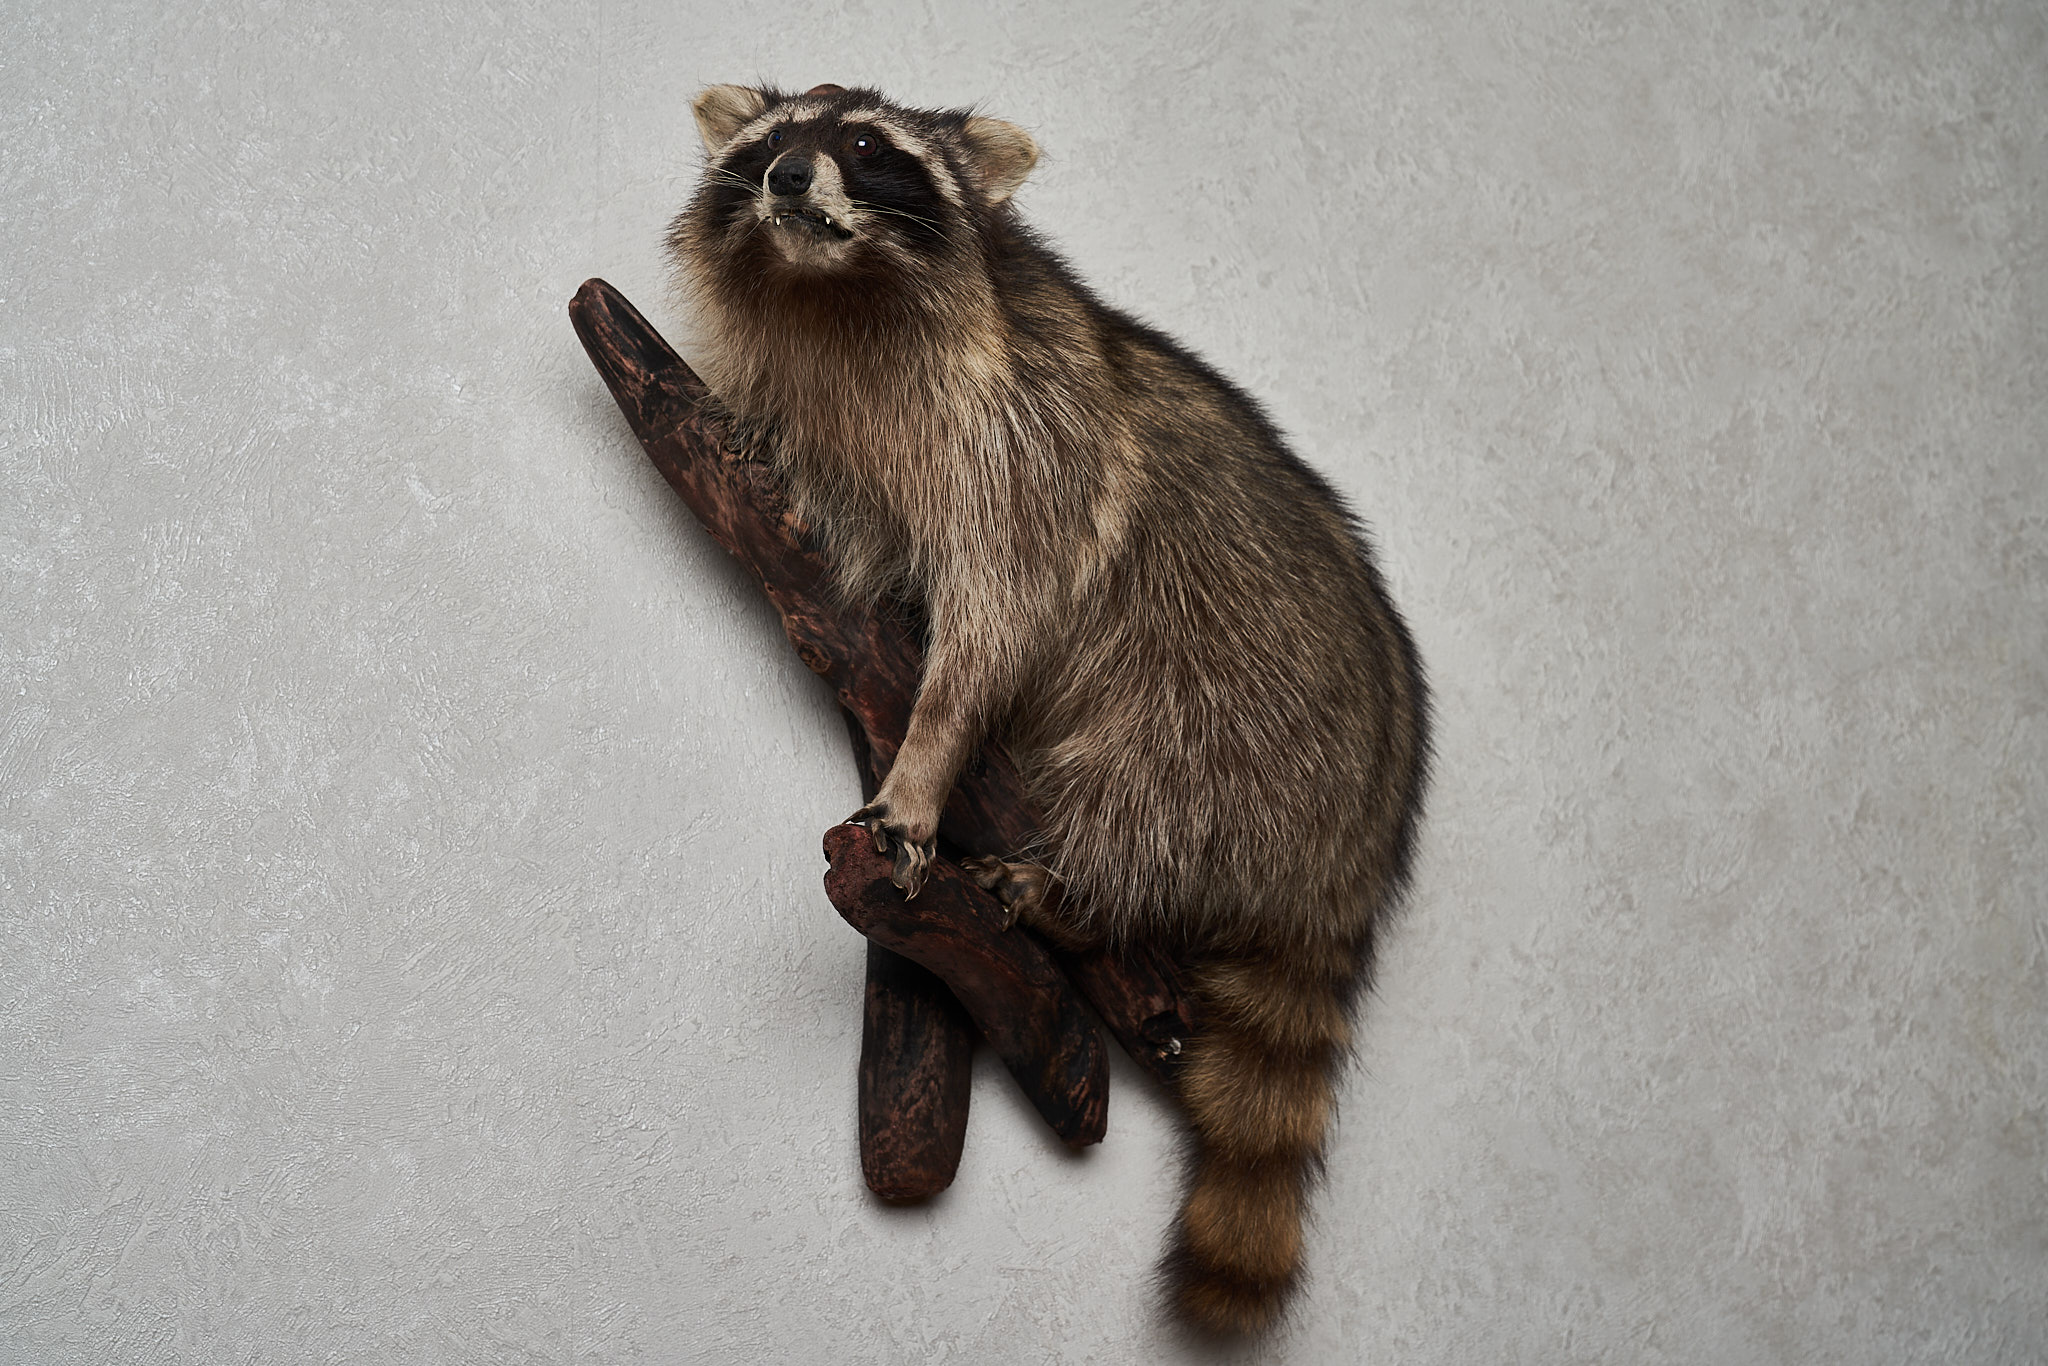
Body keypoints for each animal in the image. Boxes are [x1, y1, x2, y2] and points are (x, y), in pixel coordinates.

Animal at [668, 83, 1430, 1335]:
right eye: (768, 140)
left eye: (864, 144)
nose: (785, 174)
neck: (833, 296)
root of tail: (1358, 847)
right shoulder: (834, 443)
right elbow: (851, 538)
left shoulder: (1023, 452)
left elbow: (994, 628)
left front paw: (922, 770)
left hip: (1235, 726)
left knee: (1149, 796)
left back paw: (1076, 895)